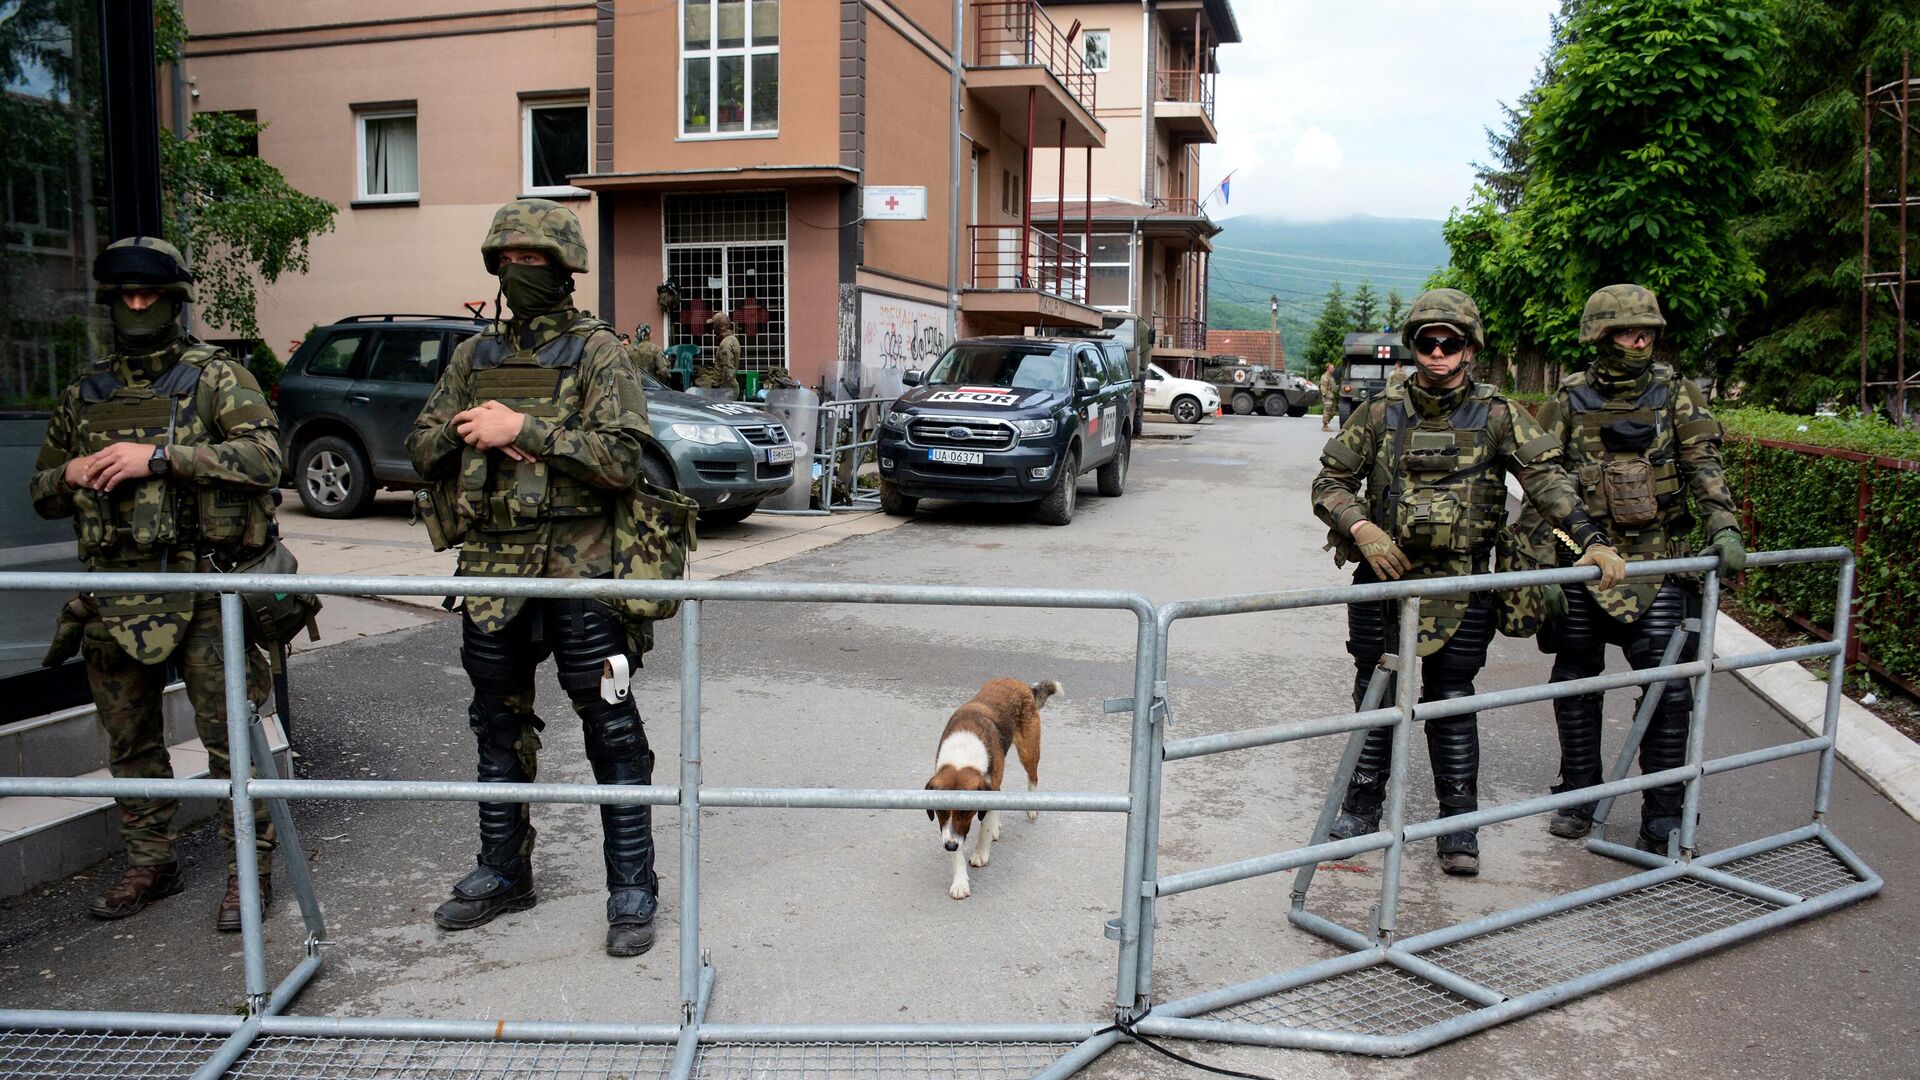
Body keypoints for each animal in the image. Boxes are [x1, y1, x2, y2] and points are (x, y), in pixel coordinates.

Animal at [921, 676, 1059, 895]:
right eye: (941, 811)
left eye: (965, 812)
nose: (949, 846)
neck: (962, 758)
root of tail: (1020, 683)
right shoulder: (950, 829)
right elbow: (956, 844)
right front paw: (960, 881)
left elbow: (983, 828)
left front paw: (980, 853)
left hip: (1029, 751)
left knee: (1033, 777)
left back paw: (1030, 808)